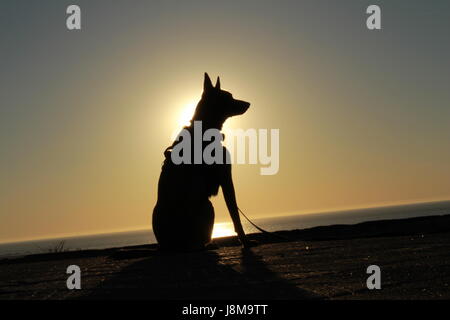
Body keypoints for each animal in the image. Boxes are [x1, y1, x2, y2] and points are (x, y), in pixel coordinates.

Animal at [153, 74, 251, 251]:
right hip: (207, 206)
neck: (205, 129)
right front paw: (245, 241)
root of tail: (169, 246)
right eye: (229, 97)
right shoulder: (226, 178)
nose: (248, 103)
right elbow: (235, 213)